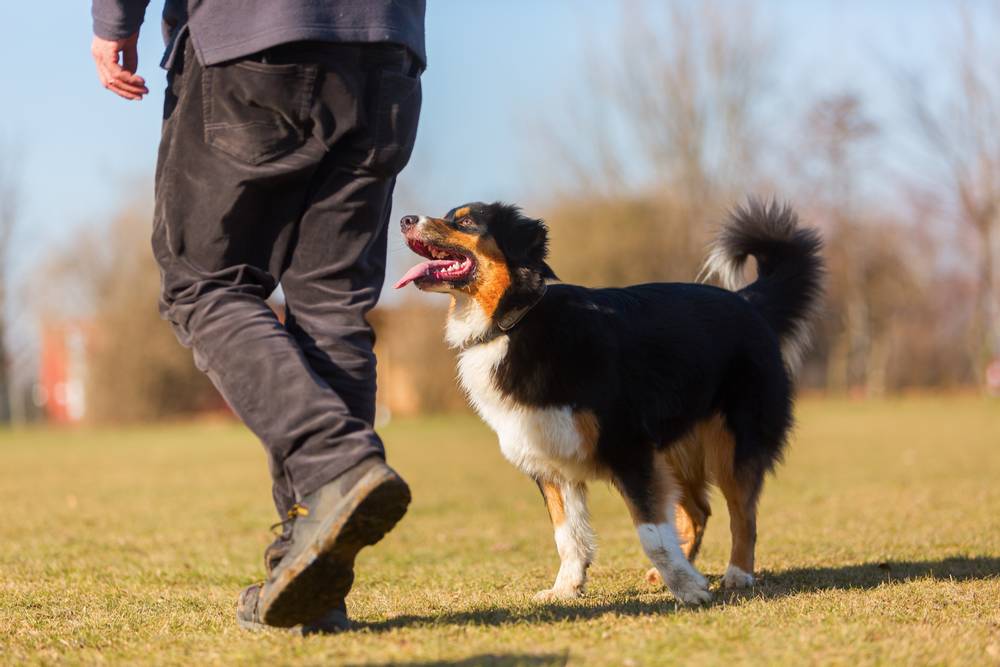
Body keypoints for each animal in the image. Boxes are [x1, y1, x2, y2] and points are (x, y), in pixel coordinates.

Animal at [390, 200, 820, 604]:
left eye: (465, 221)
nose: (405, 219)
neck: (514, 321)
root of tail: (748, 301)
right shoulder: (551, 461)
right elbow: (568, 536)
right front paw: (567, 588)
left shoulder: (628, 448)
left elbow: (651, 534)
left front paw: (688, 590)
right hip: (675, 447)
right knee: (699, 510)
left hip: (733, 443)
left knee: (742, 516)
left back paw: (737, 574)